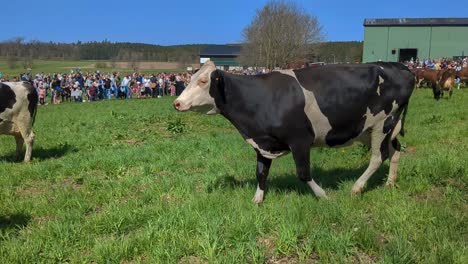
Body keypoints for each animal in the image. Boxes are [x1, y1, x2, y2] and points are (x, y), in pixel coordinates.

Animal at [174, 60, 414, 203]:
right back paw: (389, 183)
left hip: (383, 122)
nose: (177, 103)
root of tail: (398, 65)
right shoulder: (263, 143)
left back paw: (357, 187)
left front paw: (322, 195)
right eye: (190, 79)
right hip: (372, 129)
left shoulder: (300, 140)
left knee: (378, 156)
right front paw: (257, 200)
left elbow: (303, 173)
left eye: (203, 81)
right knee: (395, 150)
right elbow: (261, 173)